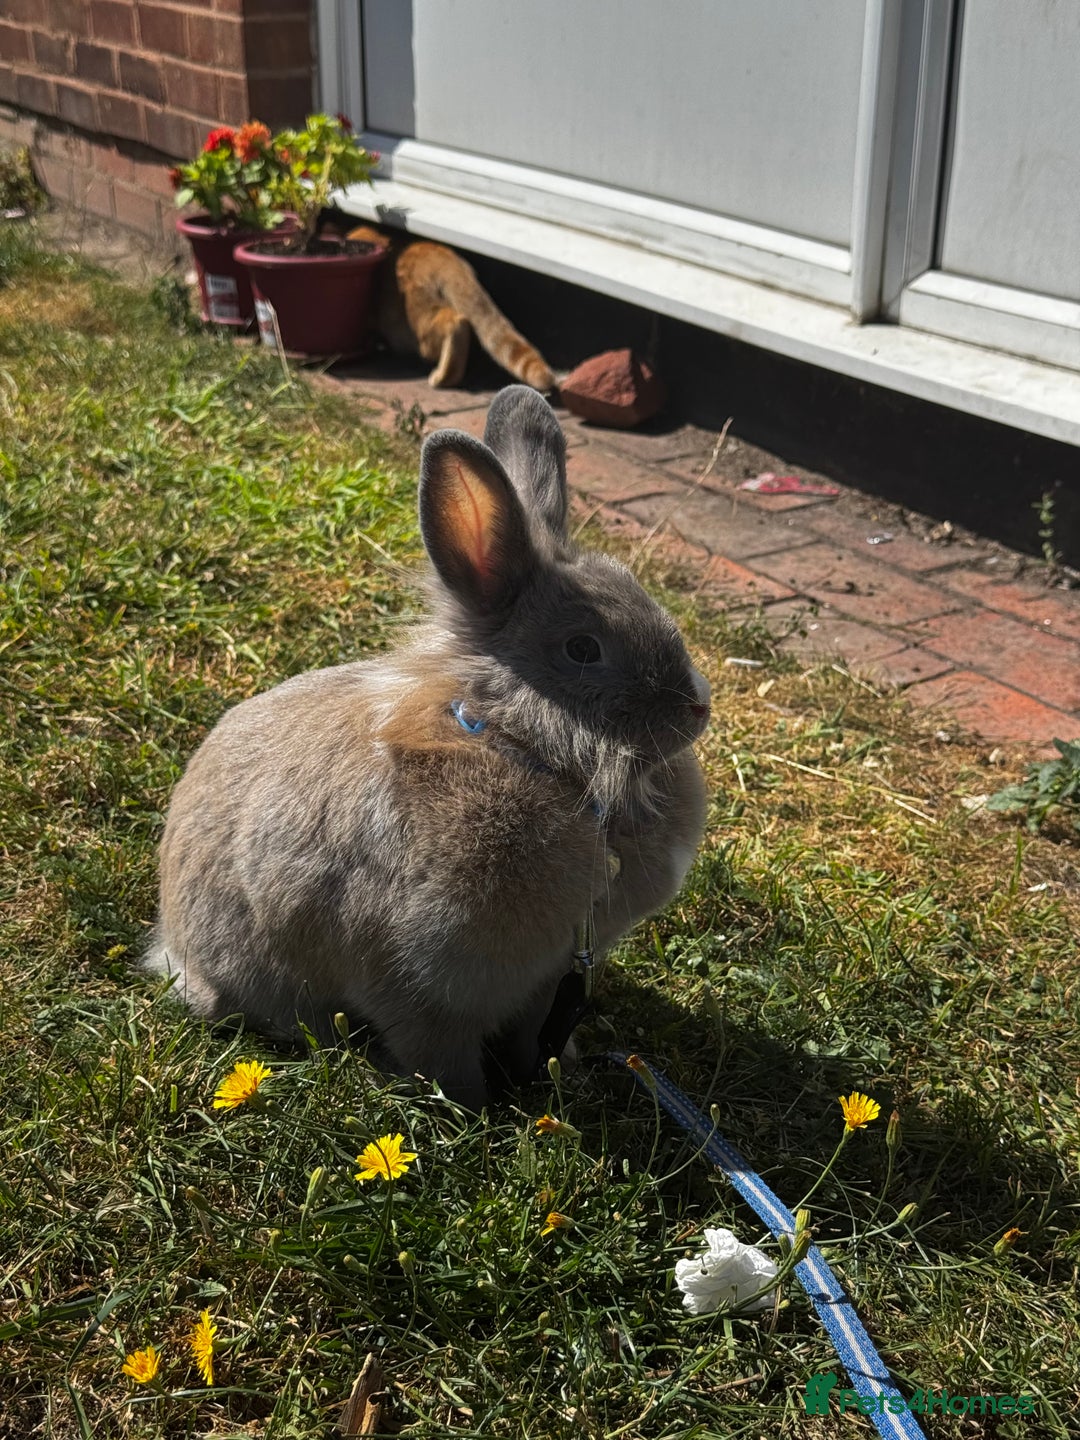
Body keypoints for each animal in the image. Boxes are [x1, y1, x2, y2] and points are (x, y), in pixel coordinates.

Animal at [145, 385, 710, 1109]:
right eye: (583, 648)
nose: (698, 707)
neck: (518, 744)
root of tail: (171, 941)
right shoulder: (427, 988)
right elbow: (440, 1055)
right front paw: (478, 1109)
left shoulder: (550, 982)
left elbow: (535, 1037)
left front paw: (561, 1072)